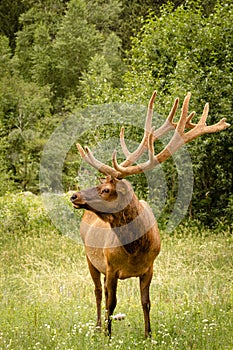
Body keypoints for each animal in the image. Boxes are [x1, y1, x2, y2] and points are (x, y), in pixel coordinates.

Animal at [69, 91, 229, 338]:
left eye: (106, 190)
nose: (75, 195)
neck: (135, 248)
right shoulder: (111, 267)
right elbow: (111, 303)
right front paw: (108, 335)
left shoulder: (149, 267)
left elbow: (146, 302)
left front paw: (148, 335)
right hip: (89, 258)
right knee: (97, 292)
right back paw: (97, 327)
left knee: (100, 291)